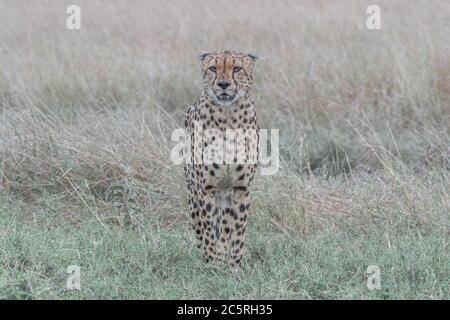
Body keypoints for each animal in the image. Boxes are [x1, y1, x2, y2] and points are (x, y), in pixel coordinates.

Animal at [184, 50, 260, 264]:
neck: (228, 117)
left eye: (237, 69)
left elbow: (235, 228)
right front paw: (212, 262)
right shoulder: (206, 188)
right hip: (193, 193)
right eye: (213, 68)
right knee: (200, 228)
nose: (223, 84)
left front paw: (234, 263)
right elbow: (209, 229)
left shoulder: (241, 188)